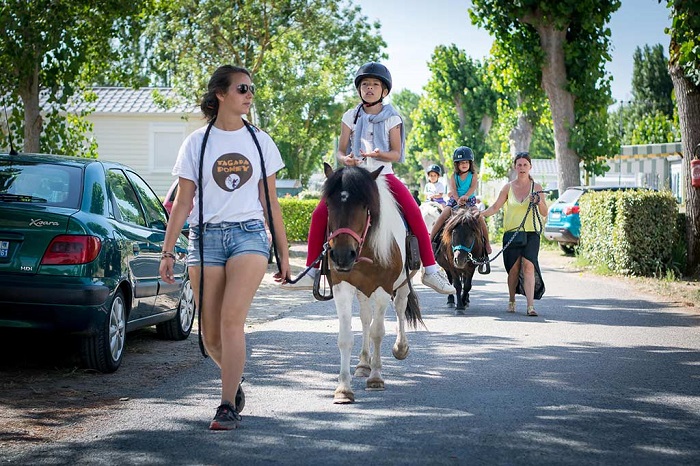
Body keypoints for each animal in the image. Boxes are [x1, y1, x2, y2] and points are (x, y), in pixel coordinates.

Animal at [322, 162, 422, 402]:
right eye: (328, 204)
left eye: (365, 205)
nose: (342, 255)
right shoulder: (342, 287)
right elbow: (346, 336)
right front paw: (343, 388)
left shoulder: (383, 289)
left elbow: (378, 331)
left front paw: (376, 378)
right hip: (362, 290)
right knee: (365, 318)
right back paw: (362, 364)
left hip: (402, 285)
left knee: (400, 308)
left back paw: (400, 347)